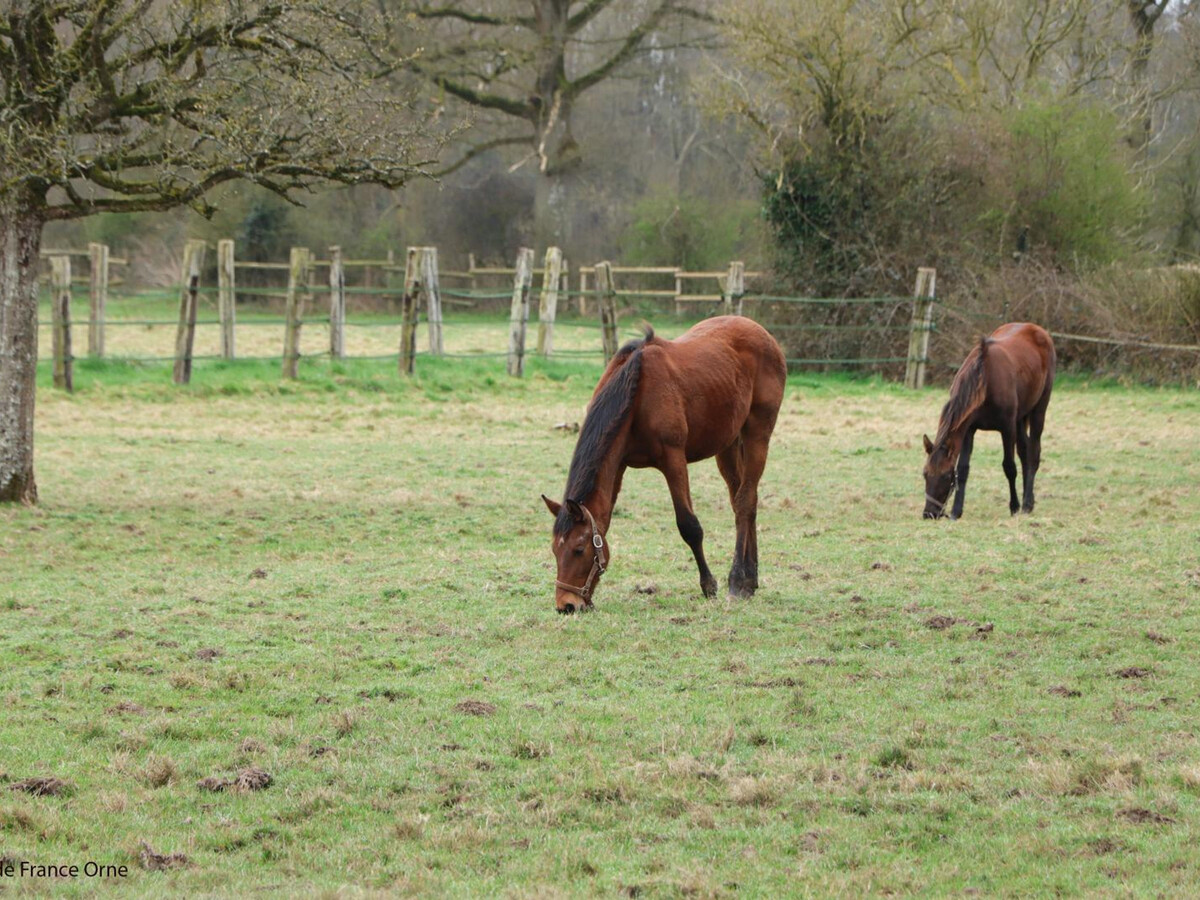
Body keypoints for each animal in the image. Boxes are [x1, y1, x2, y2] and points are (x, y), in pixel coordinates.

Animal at [541, 316, 786, 613]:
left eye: (579, 549)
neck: (636, 391)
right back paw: (751, 578)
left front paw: (708, 586)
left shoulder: (673, 460)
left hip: (757, 435)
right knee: (744, 502)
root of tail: (762, 334)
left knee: (745, 501)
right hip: (727, 446)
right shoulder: (618, 465)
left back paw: (739, 581)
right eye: (555, 549)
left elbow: (689, 526)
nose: (566, 604)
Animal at [922, 322, 1056, 519]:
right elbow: (963, 469)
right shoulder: (969, 429)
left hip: (1039, 409)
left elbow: (1009, 467)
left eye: (946, 476)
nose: (929, 513)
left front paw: (1014, 506)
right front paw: (956, 511)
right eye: (925, 474)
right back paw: (1028, 500)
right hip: (1020, 418)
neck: (984, 380)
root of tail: (1038, 330)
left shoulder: (1007, 428)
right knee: (1024, 452)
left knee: (1033, 452)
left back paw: (1026, 504)